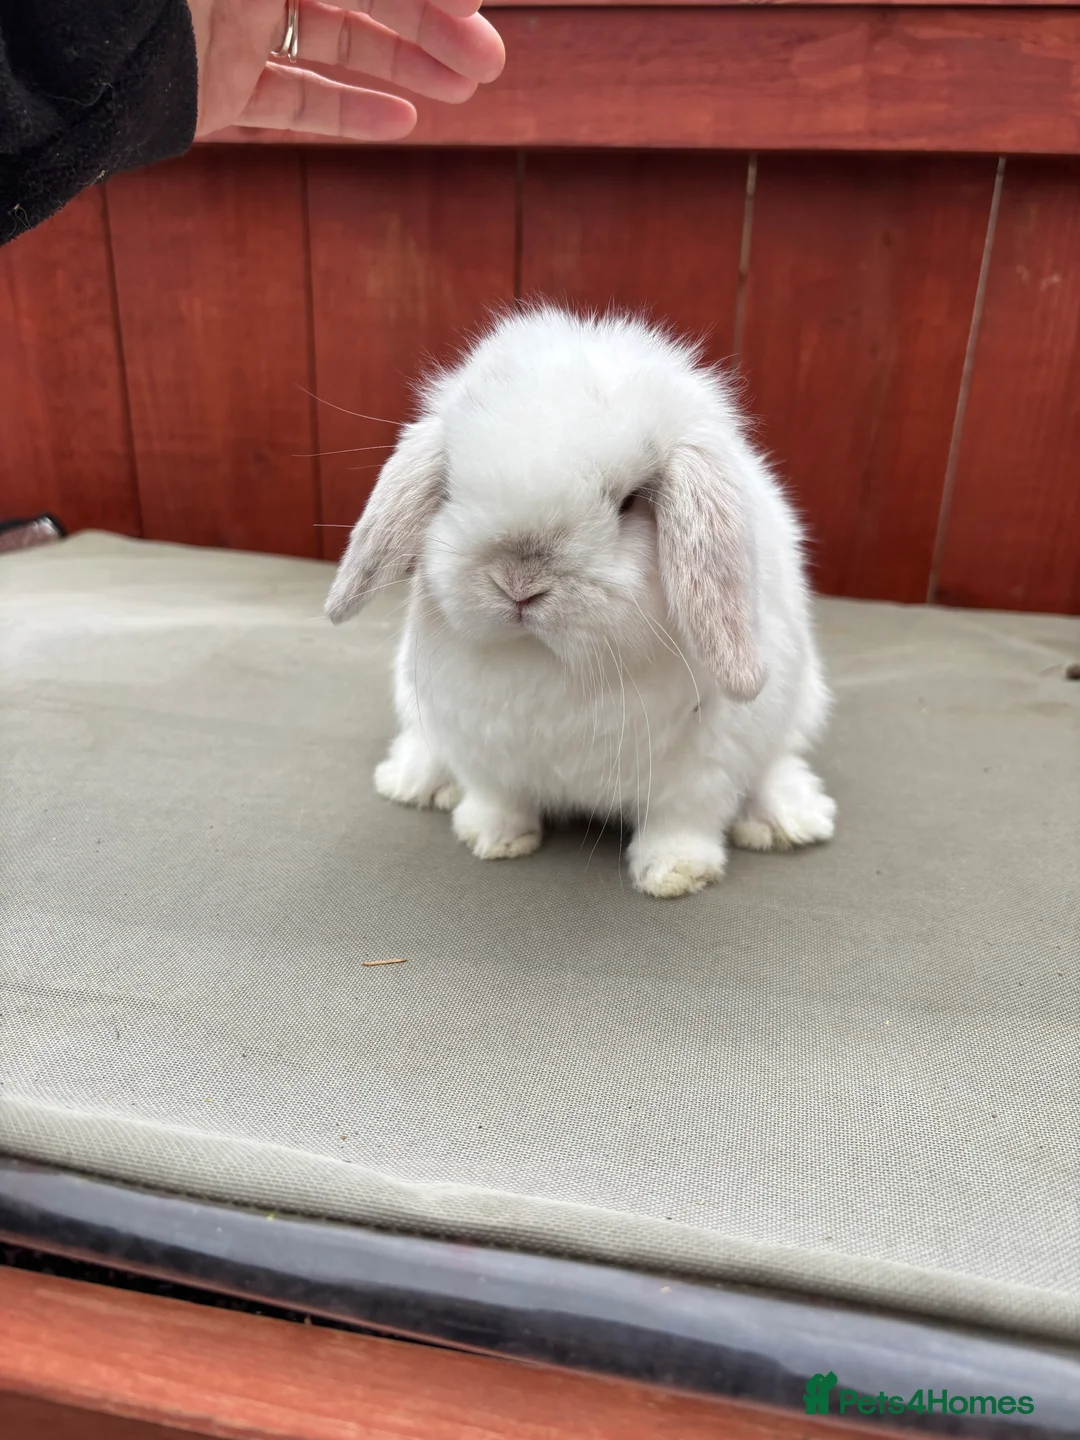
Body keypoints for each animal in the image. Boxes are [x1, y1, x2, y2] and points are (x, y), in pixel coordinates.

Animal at [326, 306, 836, 897]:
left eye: (630, 502)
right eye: (451, 488)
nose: (519, 583)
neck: (553, 663)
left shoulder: (701, 770)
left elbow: (682, 820)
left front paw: (675, 874)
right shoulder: (482, 749)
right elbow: (498, 797)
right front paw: (493, 839)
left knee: (775, 763)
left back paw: (787, 820)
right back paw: (412, 781)